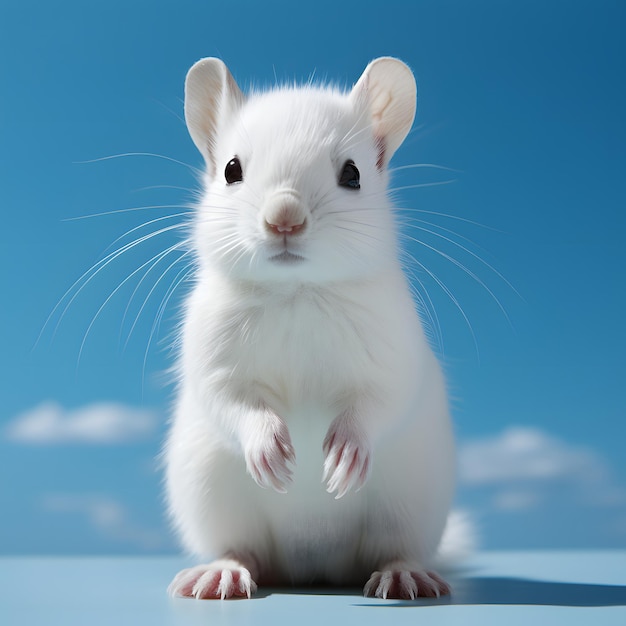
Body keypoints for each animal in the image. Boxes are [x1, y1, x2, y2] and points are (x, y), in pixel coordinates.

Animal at [166, 56, 456, 596]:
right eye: (231, 170)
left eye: (353, 173)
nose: (285, 217)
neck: (296, 292)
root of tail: (315, 567)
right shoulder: (213, 362)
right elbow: (233, 403)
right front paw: (269, 450)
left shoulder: (393, 358)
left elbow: (377, 403)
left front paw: (346, 454)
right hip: (213, 497)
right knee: (244, 550)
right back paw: (221, 573)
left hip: (408, 506)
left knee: (392, 549)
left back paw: (402, 575)